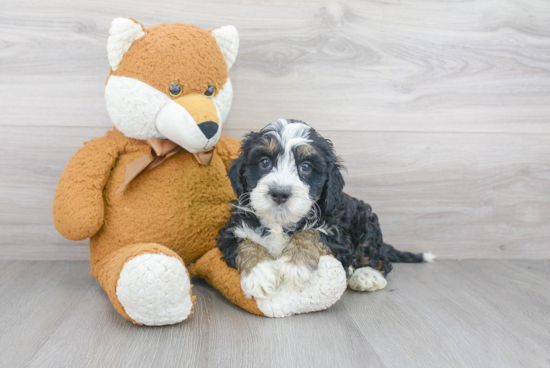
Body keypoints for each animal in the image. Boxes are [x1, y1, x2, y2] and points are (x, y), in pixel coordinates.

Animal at [217, 119, 436, 300]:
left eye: (306, 167)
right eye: (264, 162)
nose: (280, 193)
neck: (281, 222)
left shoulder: (337, 234)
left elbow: (311, 233)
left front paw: (295, 264)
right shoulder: (230, 232)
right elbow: (246, 243)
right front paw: (260, 274)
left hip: (366, 222)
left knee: (380, 258)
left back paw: (367, 275)